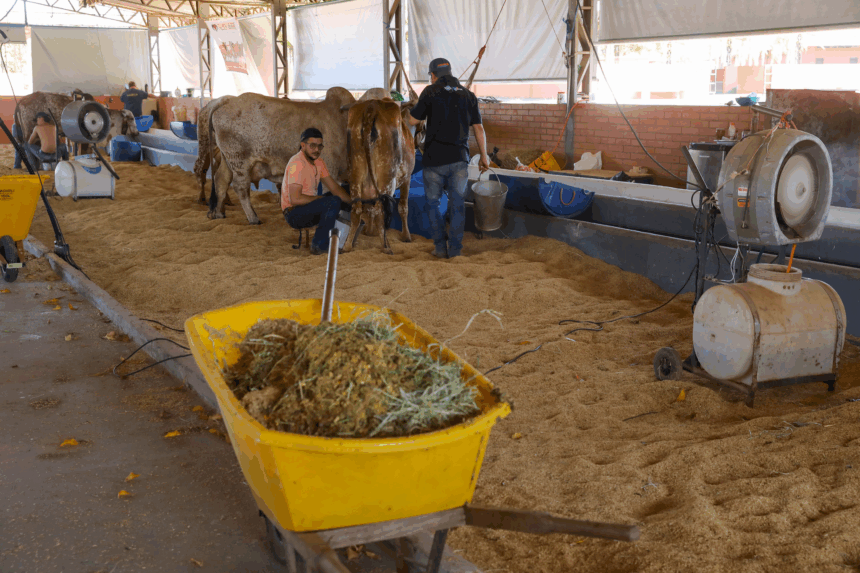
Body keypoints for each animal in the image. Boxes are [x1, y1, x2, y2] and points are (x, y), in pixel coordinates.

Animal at [205, 87, 355, 225]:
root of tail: (228, 100)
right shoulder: (331, 170)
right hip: (239, 161)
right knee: (240, 187)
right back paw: (253, 218)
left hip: (227, 159)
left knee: (221, 179)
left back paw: (219, 213)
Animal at [342, 98, 416, 255]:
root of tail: (372, 107)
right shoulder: (407, 178)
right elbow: (403, 207)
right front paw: (406, 236)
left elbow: (368, 210)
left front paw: (370, 232)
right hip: (386, 177)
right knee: (380, 209)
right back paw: (386, 246)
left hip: (355, 172)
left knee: (356, 210)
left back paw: (347, 246)